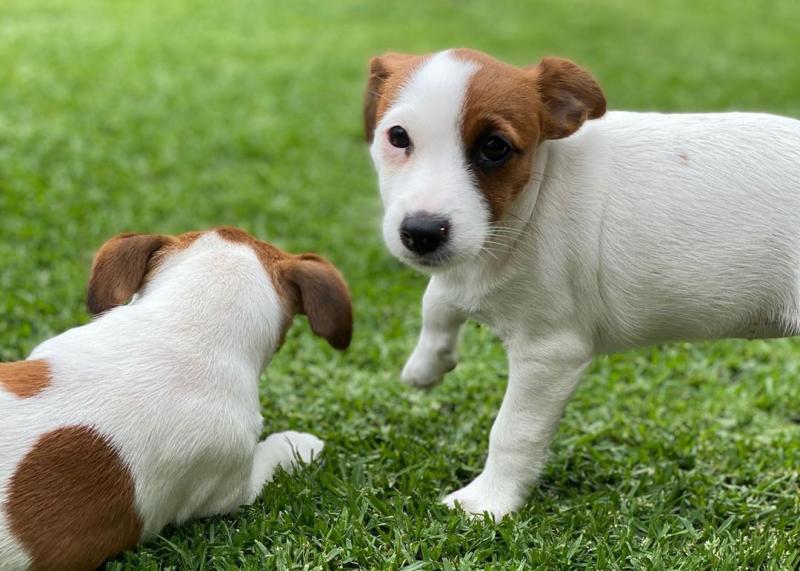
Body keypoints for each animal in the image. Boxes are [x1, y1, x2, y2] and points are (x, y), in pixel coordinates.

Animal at [364, 49, 800, 520]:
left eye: (495, 148)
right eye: (398, 136)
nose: (422, 233)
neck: (532, 199)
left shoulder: (549, 354)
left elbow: (513, 431)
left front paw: (488, 502)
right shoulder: (466, 264)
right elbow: (438, 300)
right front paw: (427, 363)